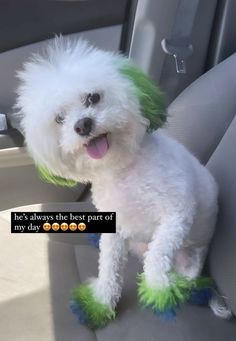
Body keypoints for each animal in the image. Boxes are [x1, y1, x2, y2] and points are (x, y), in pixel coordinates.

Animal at [14, 36, 229, 326]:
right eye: (59, 118)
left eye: (93, 97)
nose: (82, 124)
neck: (121, 168)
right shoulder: (115, 227)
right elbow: (109, 269)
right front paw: (100, 301)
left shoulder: (176, 213)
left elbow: (158, 253)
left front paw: (158, 288)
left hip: (190, 259)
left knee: (186, 277)